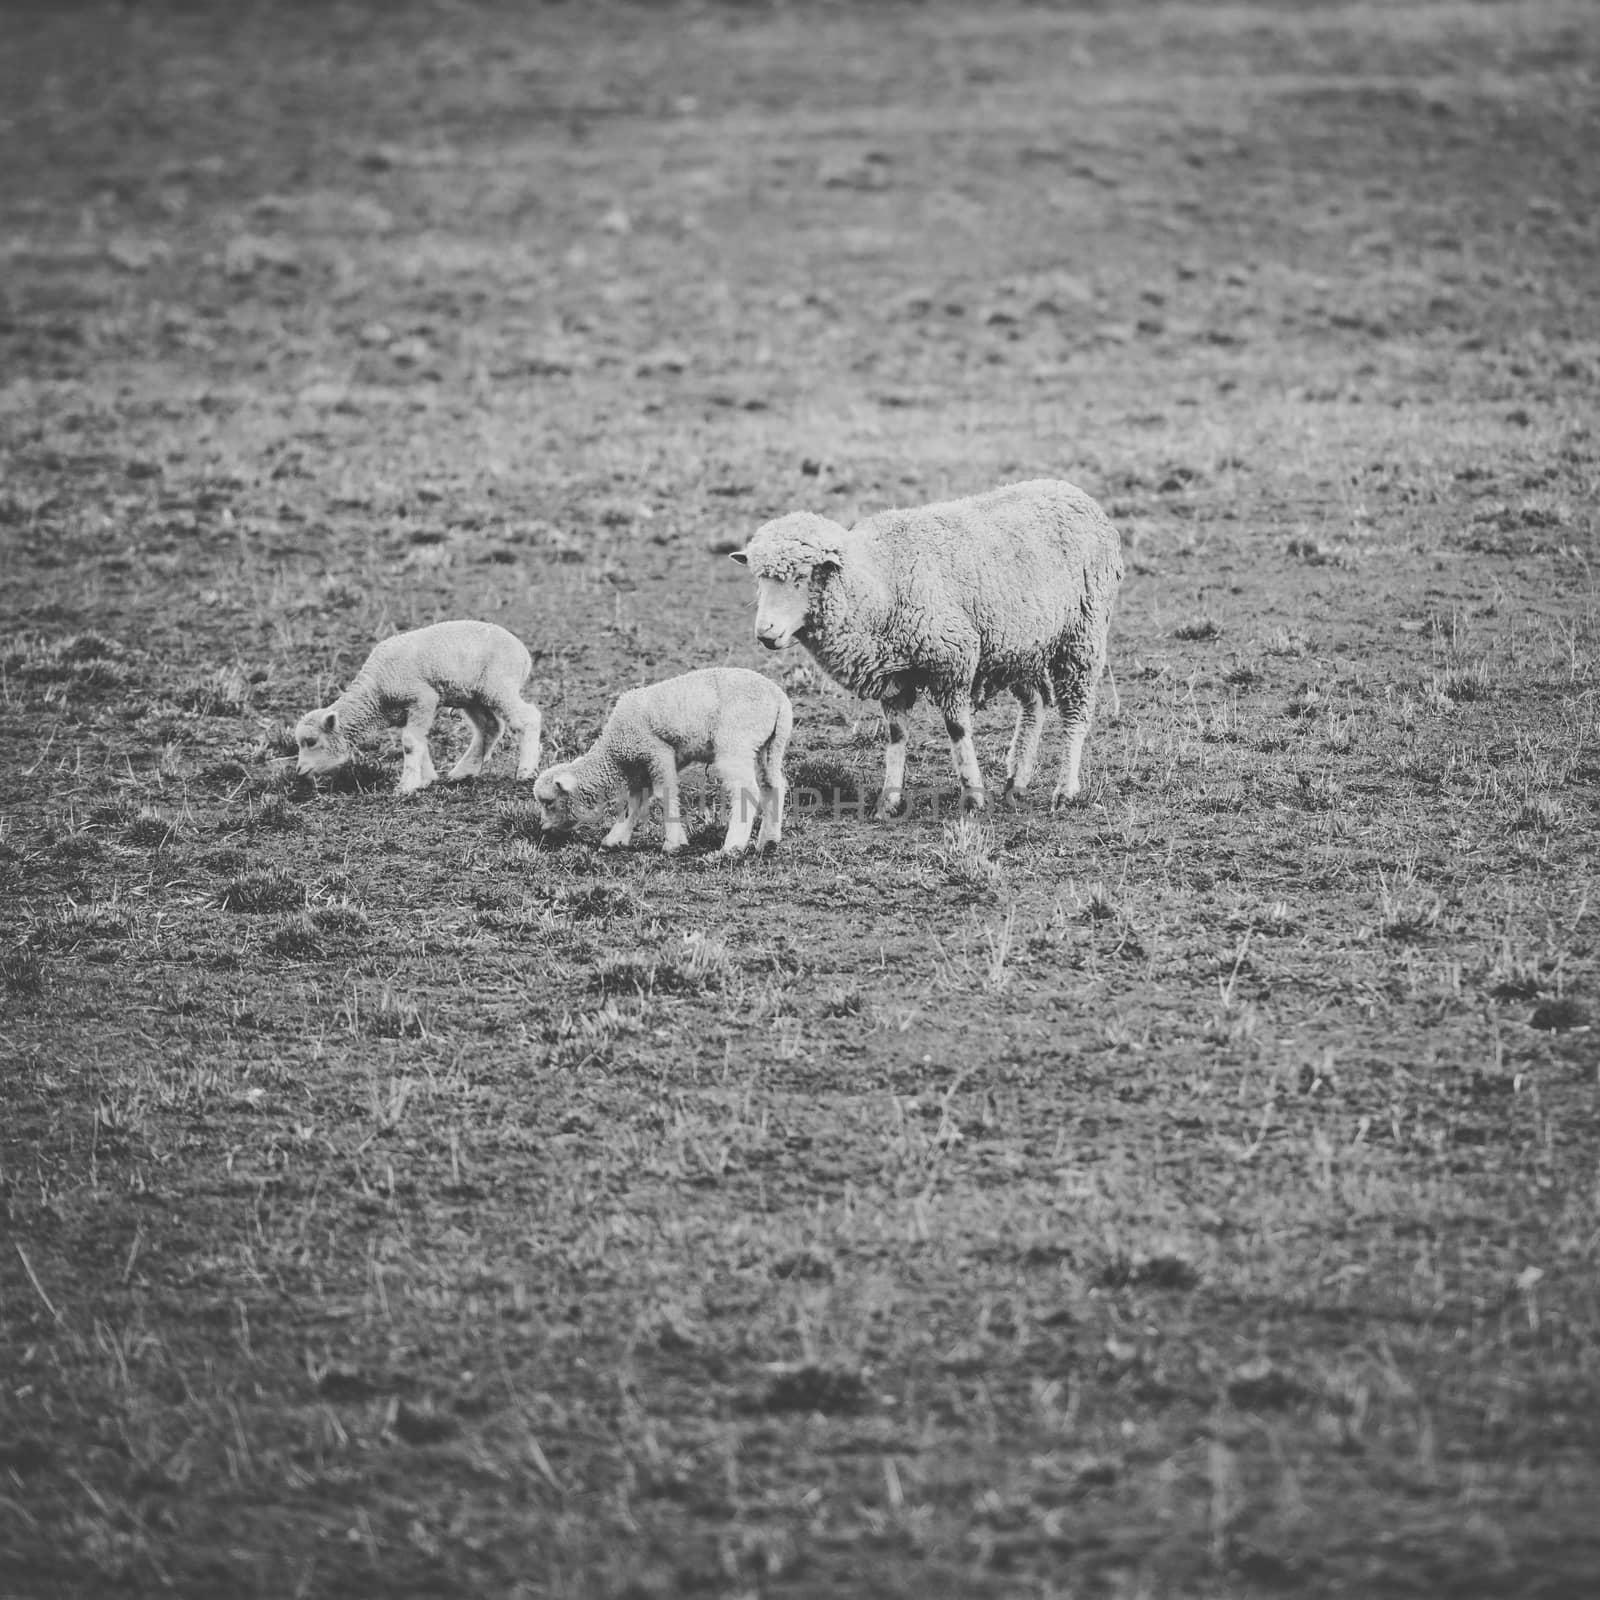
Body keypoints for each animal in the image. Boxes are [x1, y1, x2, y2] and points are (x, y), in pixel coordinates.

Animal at [288, 617, 537, 793]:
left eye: (311, 741)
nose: (299, 771)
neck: (375, 692)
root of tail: (524, 653)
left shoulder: (422, 698)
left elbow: (409, 743)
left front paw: (406, 786)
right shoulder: (406, 712)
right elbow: (419, 741)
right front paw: (425, 779)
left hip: (499, 684)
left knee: (527, 718)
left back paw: (526, 771)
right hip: (472, 695)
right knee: (490, 727)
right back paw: (463, 772)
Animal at [534, 668, 790, 857]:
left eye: (549, 802)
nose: (543, 829)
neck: (615, 751)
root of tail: (778, 698)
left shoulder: (658, 752)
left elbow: (664, 795)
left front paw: (673, 843)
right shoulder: (643, 767)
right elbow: (634, 803)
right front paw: (615, 839)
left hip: (735, 743)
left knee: (747, 790)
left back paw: (732, 846)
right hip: (770, 745)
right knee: (773, 784)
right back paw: (768, 840)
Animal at [732, 473, 1120, 812]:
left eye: (801, 577)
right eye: (758, 578)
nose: (765, 634)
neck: (880, 583)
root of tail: (1073, 492)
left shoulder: (954, 660)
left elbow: (957, 729)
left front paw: (973, 796)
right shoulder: (893, 676)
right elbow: (896, 735)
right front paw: (888, 801)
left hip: (1081, 635)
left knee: (1075, 713)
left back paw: (1065, 790)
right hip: (1019, 646)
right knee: (1035, 703)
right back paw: (1016, 783)